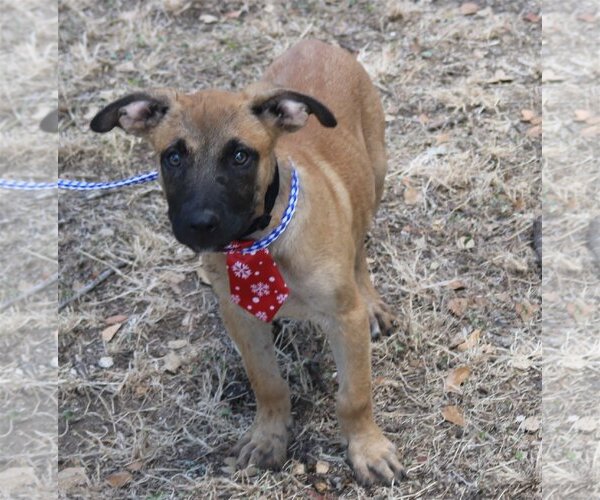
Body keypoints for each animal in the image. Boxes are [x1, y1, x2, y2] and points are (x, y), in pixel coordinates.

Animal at [91, 39, 404, 484]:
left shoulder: (345, 318)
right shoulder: (240, 318)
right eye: (173, 157)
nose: (199, 225)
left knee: (359, 245)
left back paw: (373, 303)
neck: (259, 241)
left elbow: (354, 395)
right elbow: (267, 384)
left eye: (240, 156)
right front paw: (268, 438)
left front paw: (367, 449)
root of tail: (315, 43)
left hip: (375, 175)